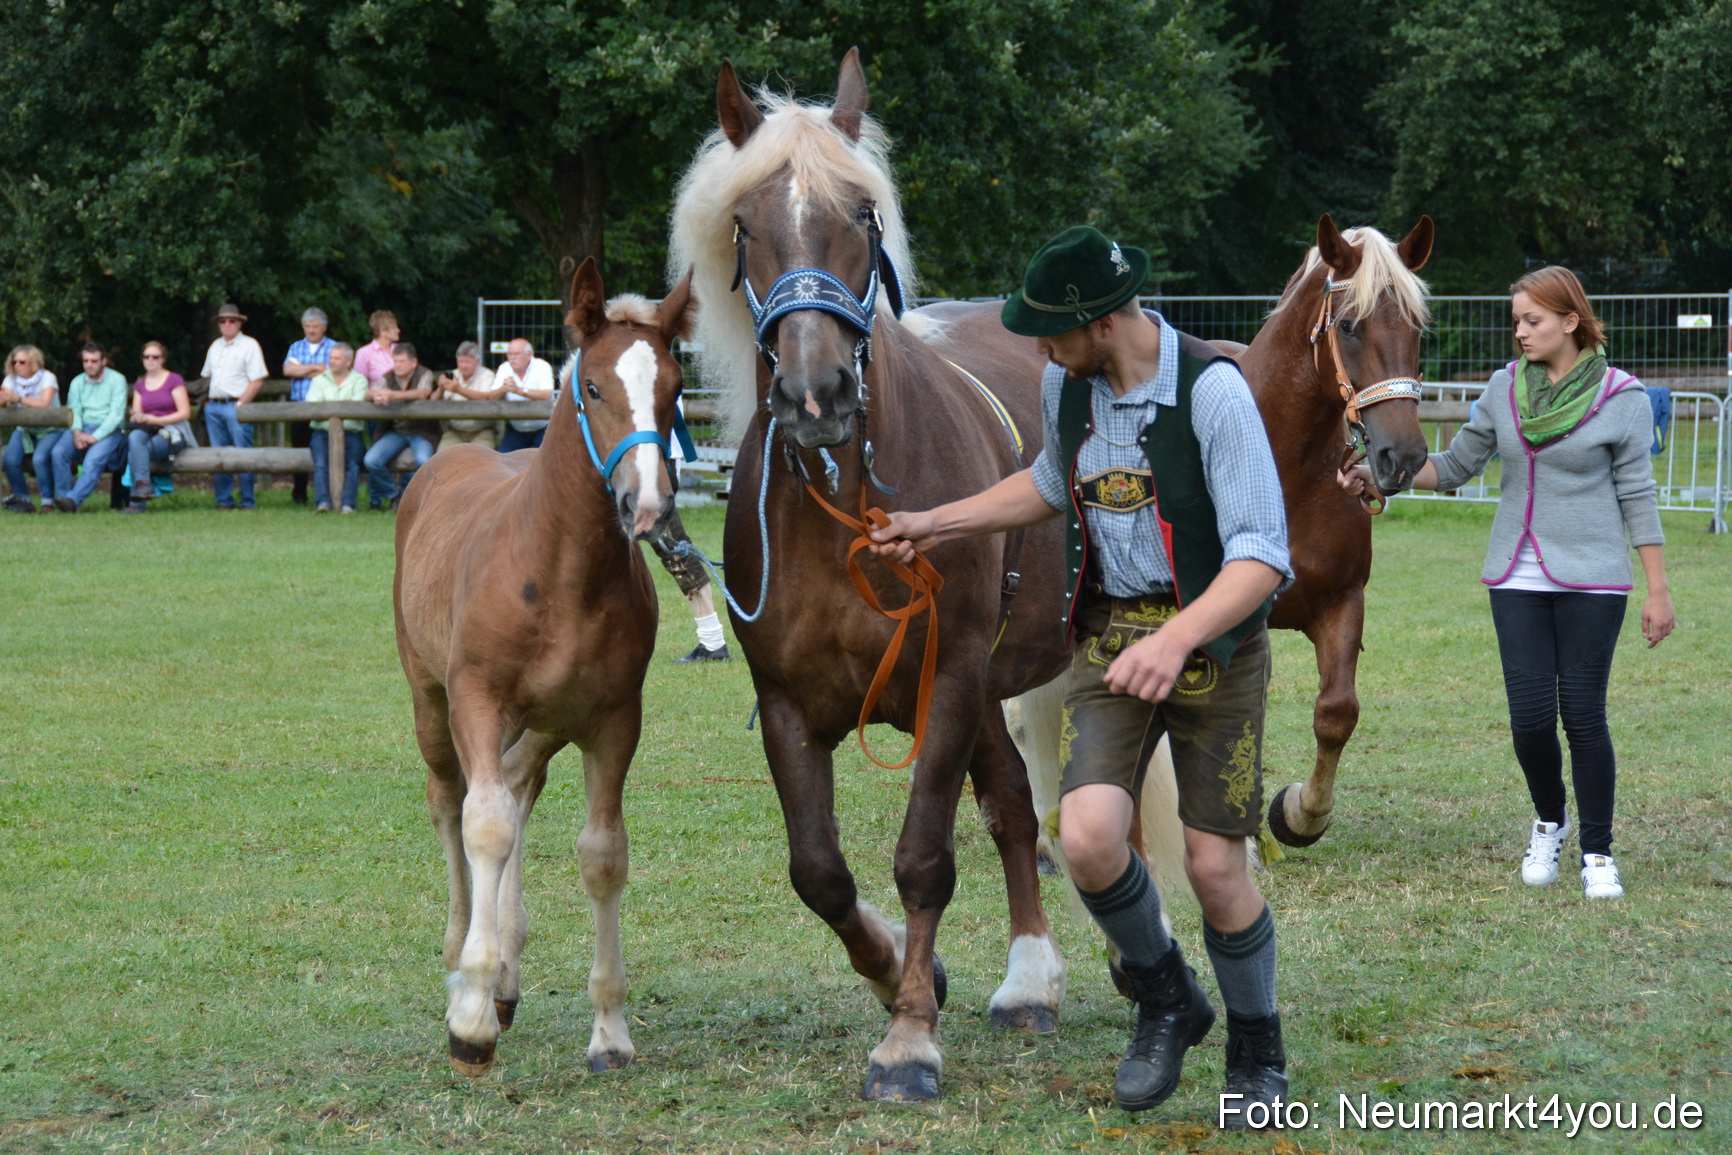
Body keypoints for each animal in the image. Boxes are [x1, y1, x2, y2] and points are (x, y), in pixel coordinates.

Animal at [392, 257, 694, 1077]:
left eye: (674, 385)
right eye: (591, 386)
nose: (646, 504)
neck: (560, 571)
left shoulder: (614, 720)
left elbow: (601, 854)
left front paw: (610, 1030)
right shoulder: (476, 699)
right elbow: (483, 824)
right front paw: (468, 1022)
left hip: (546, 722)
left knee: (517, 781)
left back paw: (505, 971)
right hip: (430, 698)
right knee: (450, 798)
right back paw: (463, 959)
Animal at [669, 50, 1071, 1101]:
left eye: (863, 214)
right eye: (745, 224)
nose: (817, 396)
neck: (840, 500)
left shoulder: (949, 680)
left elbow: (924, 856)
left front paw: (909, 1040)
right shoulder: (787, 705)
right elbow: (821, 872)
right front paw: (900, 970)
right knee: (1014, 808)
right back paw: (1030, 980)